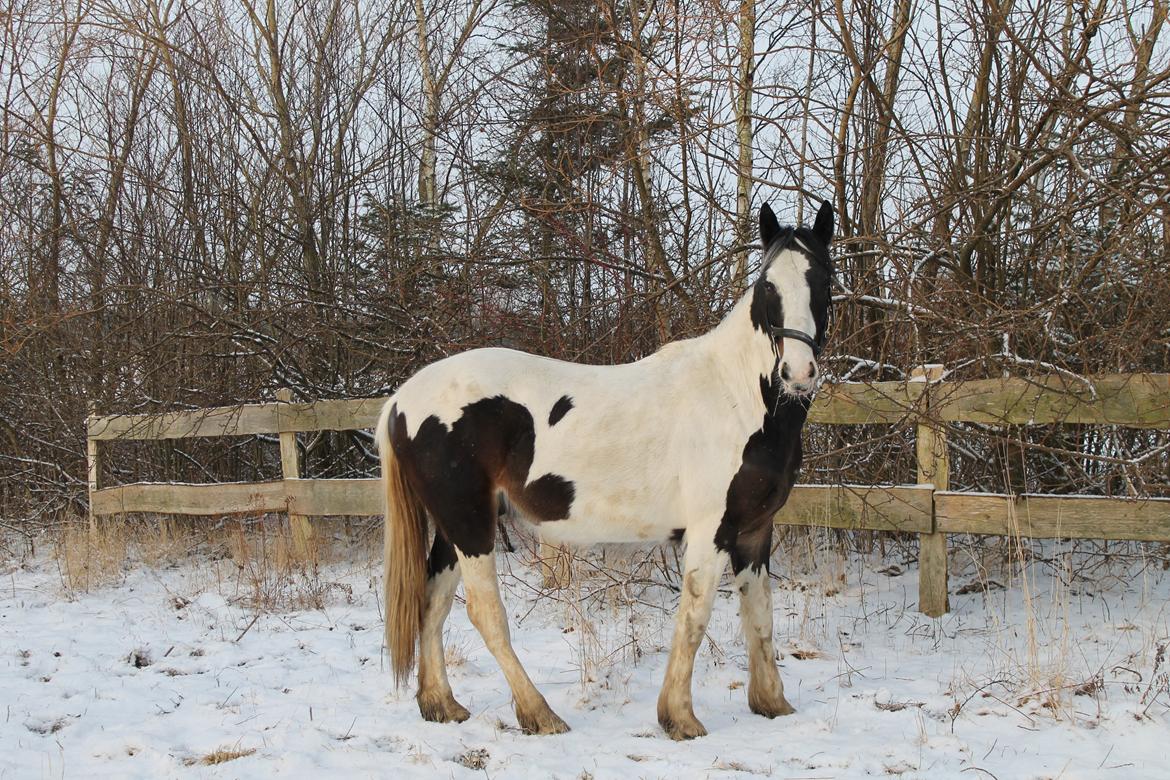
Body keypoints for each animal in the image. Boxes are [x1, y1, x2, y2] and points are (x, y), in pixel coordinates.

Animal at [379, 199, 837, 739]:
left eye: (823, 279)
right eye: (768, 287)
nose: (798, 373)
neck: (737, 395)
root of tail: (402, 400)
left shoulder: (754, 531)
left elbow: (760, 613)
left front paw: (772, 704)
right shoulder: (711, 531)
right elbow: (696, 615)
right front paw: (680, 718)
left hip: (456, 526)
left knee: (433, 603)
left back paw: (441, 705)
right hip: (470, 525)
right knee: (485, 613)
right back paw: (538, 714)